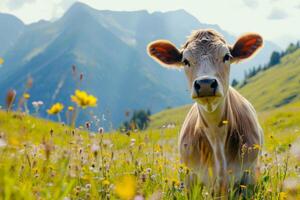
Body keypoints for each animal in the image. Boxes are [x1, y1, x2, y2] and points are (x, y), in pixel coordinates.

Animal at [146, 28, 264, 196]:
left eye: (227, 56)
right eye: (185, 61)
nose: (205, 83)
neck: (216, 134)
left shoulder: (249, 176)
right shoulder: (189, 178)